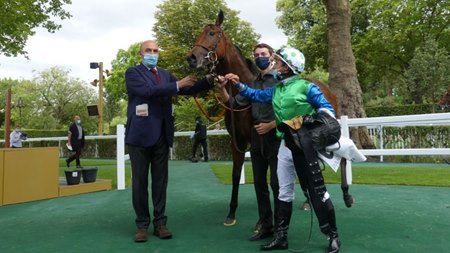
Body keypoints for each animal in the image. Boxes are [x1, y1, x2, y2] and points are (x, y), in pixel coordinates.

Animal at [188, 9, 354, 225]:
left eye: (211, 33)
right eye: (200, 33)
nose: (192, 58)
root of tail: (327, 89)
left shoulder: (261, 140)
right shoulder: (237, 141)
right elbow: (236, 175)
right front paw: (231, 213)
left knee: (341, 157)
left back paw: (346, 195)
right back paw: (308, 200)